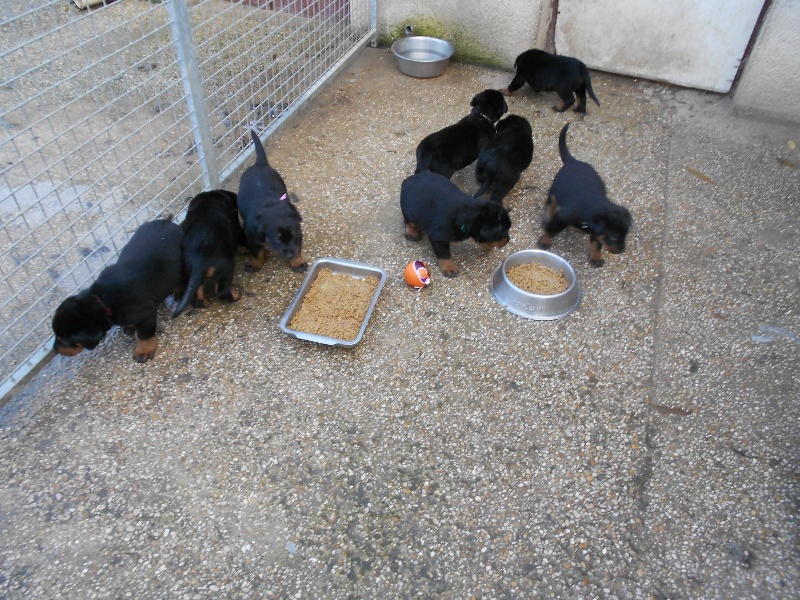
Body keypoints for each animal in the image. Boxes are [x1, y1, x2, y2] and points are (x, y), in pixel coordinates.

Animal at [52, 217, 183, 362]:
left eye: (63, 340)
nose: (55, 349)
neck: (101, 301)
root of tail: (166, 221)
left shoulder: (145, 315)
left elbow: (144, 335)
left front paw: (143, 350)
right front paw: (130, 328)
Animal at [172, 189, 247, 317]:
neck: (205, 206)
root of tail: (198, 260)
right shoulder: (237, 228)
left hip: (190, 275)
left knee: (196, 292)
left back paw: (202, 303)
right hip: (226, 268)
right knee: (221, 291)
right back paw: (236, 296)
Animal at [237, 129, 307, 272]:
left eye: (293, 234)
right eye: (277, 238)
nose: (289, 255)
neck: (270, 205)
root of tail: (259, 163)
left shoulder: (298, 231)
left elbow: (297, 247)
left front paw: (297, 262)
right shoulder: (250, 235)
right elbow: (256, 251)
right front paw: (255, 264)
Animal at [537, 123, 632, 267]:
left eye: (625, 234)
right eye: (614, 235)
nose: (622, 251)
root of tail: (573, 161)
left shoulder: (597, 232)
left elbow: (596, 243)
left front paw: (596, 257)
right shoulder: (561, 218)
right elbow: (552, 230)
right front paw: (544, 241)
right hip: (554, 191)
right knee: (551, 204)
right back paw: (547, 216)